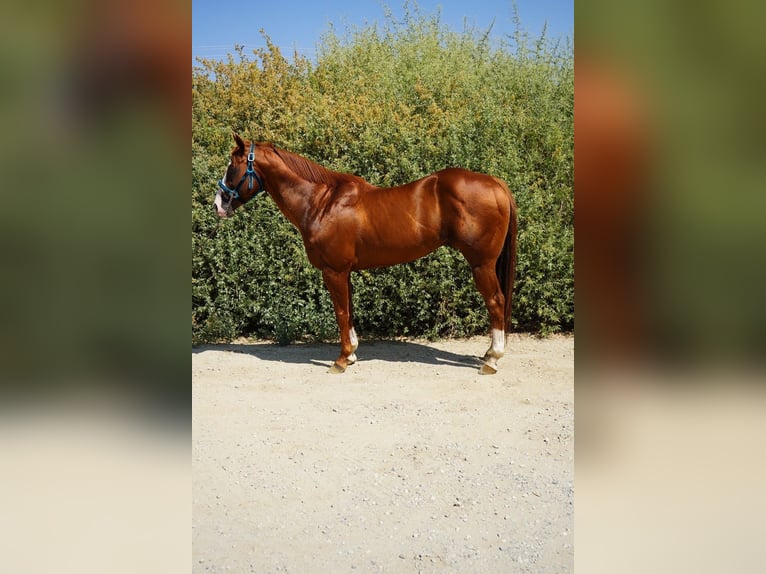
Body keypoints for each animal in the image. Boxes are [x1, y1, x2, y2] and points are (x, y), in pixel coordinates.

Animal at [214, 134, 518, 375]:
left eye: (232, 166)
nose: (218, 205)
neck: (322, 202)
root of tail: (496, 183)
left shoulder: (333, 271)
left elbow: (340, 311)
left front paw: (341, 360)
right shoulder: (344, 271)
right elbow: (349, 311)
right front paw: (352, 354)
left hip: (481, 264)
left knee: (495, 301)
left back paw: (491, 360)